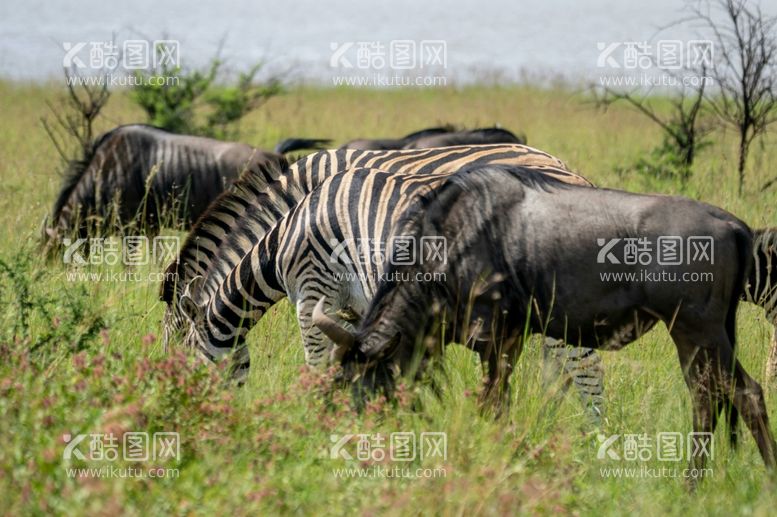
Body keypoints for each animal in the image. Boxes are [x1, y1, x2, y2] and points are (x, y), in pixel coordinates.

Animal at [176, 165, 608, 424]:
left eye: (190, 359)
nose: (197, 409)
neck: (284, 237)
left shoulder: (312, 292)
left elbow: (316, 365)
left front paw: (317, 418)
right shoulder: (356, 310)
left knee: (586, 371)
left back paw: (591, 442)